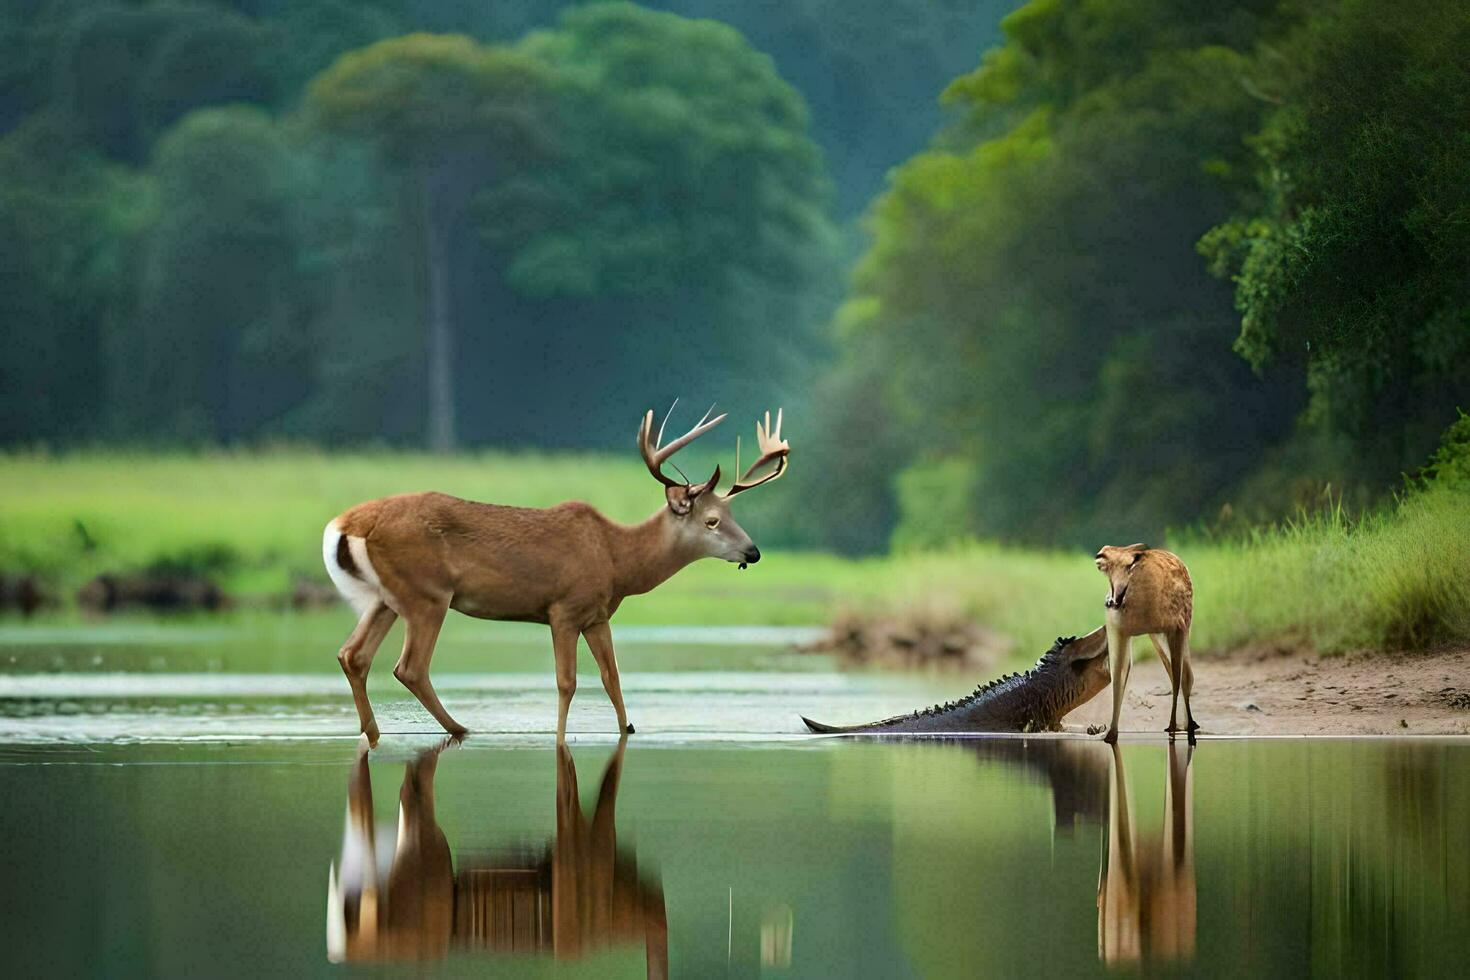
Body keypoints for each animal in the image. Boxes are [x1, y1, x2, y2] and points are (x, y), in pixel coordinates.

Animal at [323, 402, 793, 740]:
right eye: (711, 520)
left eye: (732, 513)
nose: (753, 552)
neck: (617, 558)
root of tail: (347, 522)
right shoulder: (563, 608)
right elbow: (567, 681)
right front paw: (561, 737)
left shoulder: (597, 615)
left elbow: (612, 677)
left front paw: (628, 729)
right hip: (428, 595)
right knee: (409, 667)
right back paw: (460, 729)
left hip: (386, 597)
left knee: (353, 655)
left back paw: (373, 732)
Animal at [1093, 543, 1193, 743]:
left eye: (1131, 564)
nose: (1100, 554)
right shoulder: (1119, 631)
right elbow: (1118, 677)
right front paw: (1110, 734)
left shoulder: (1177, 630)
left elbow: (1179, 679)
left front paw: (1173, 729)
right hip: (1157, 636)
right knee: (1178, 674)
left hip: (1179, 631)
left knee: (1184, 676)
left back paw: (1187, 726)